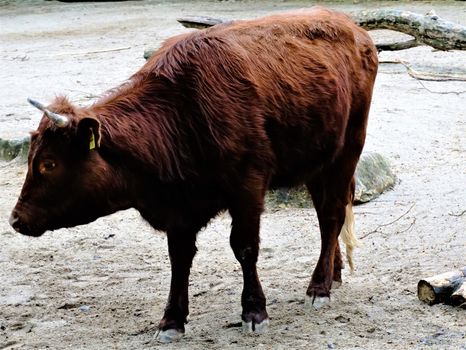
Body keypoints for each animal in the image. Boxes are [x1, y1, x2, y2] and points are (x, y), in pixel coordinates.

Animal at [9, 7, 376, 342]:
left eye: (49, 164)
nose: (15, 219)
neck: (182, 112)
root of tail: (351, 26)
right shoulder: (180, 209)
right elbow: (179, 257)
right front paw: (172, 320)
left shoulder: (247, 188)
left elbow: (245, 247)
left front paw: (254, 311)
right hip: (318, 161)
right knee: (328, 216)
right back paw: (334, 272)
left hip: (347, 149)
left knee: (330, 215)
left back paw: (319, 288)